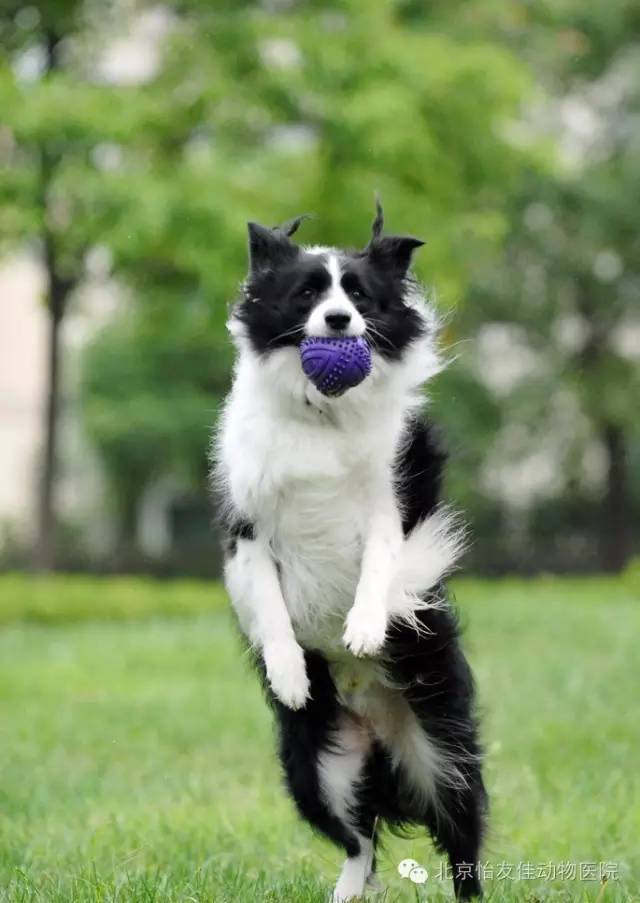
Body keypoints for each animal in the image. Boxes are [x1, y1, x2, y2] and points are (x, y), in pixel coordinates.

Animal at [214, 205, 484, 903]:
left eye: (358, 296)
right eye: (308, 293)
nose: (339, 323)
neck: (323, 414)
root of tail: (380, 731)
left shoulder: (393, 507)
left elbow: (382, 566)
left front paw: (363, 628)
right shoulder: (247, 530)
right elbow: (270, 606)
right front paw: (288, 673)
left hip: (444, 755)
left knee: (463, 842)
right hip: (316, 767)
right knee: (358, 840)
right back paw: (345, 889)